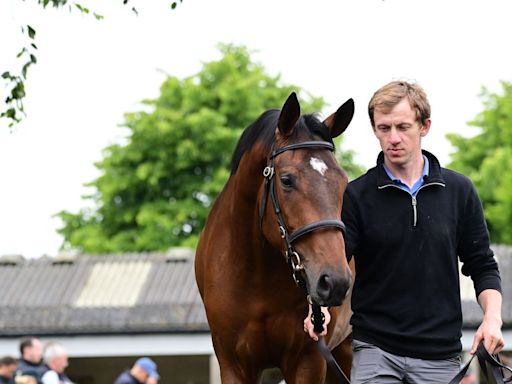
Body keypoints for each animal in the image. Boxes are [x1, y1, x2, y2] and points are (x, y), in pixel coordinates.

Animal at [196, 93, 356, 384]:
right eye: (287, 180)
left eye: (343, 181)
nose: (335, 281)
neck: (258, 274)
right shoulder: (233, 365)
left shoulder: (309, 362)